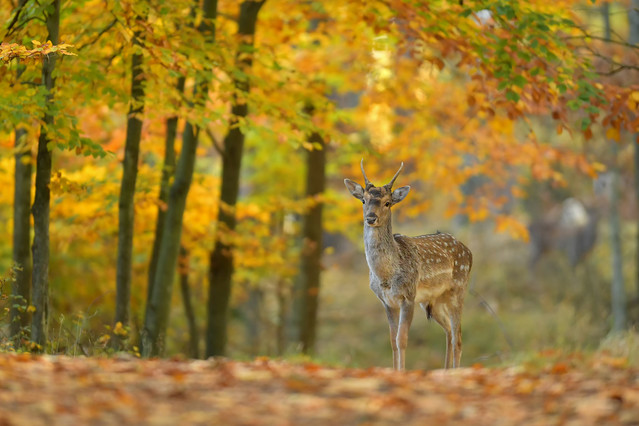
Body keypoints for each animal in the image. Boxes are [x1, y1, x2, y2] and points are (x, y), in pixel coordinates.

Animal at [344, 160, 476, 370]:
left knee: (458, 337)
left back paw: (455, 371)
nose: (371, 218)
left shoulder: (408, 296)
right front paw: (395, 370)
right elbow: (392, 341)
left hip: (458, 289)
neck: (386, 276)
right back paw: (445, 370)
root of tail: (468, 251)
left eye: (387, 203)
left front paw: (402, 372)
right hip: (433, 300)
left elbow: (402, 339)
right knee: (448, 330)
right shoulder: (387, 301)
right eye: (363, 200)